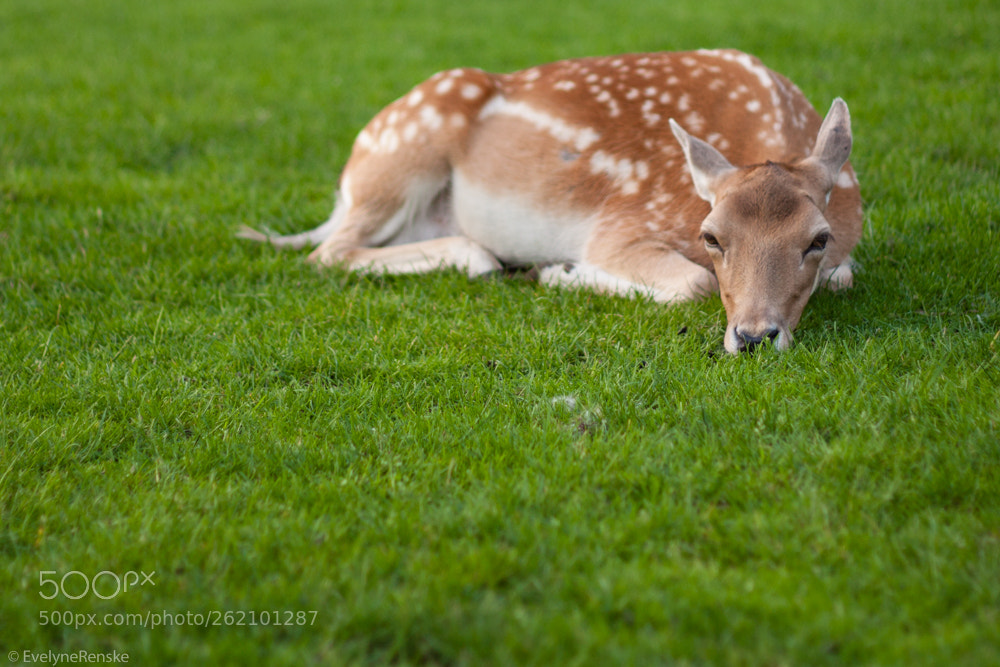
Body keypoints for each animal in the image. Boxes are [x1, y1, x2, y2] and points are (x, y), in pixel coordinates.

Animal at [238, 49, 862, 354]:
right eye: (711, 235)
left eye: (818, 239)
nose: (754, 337)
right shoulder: (620, 225)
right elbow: (694, 282)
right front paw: (562, 272)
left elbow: (844, 277)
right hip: (398, 159)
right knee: (330, 252)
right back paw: (497, 260)